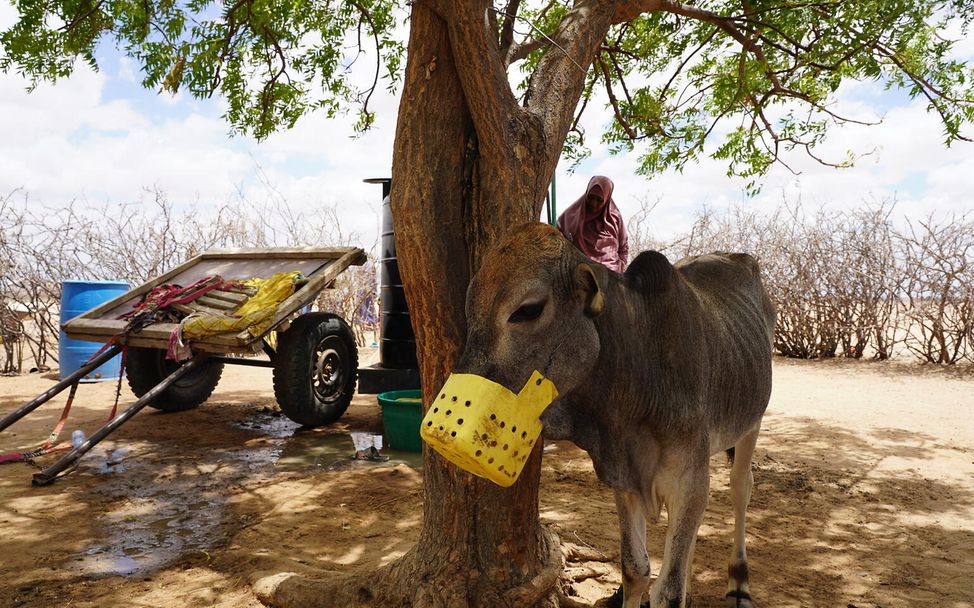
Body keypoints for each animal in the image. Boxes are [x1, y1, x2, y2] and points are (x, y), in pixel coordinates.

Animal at [458, 223, 776, 608]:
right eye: (470, 308)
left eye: (528, 310)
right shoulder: (625, 480)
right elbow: (636, 570)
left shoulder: (688, 479)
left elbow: (667, 590)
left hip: (751, 424)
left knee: (740, 487)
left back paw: (739, 583)